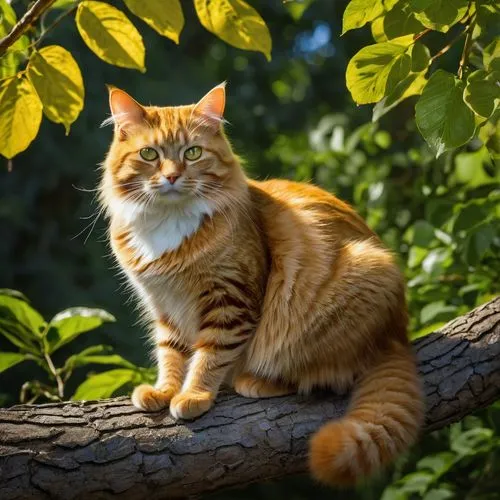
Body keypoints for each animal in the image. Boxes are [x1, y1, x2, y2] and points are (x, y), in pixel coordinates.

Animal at [99, 84, 424, 486]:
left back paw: (255, 381)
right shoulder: (165, 305)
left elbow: (209, 355)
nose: (173, 177)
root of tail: (396, 336)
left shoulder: (230, 299)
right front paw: (165, 390)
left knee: (322, 375)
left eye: (192, 153)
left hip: (350, 289)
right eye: (150, 154)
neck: (169, 225)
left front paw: (194, 396)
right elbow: (171, 354)